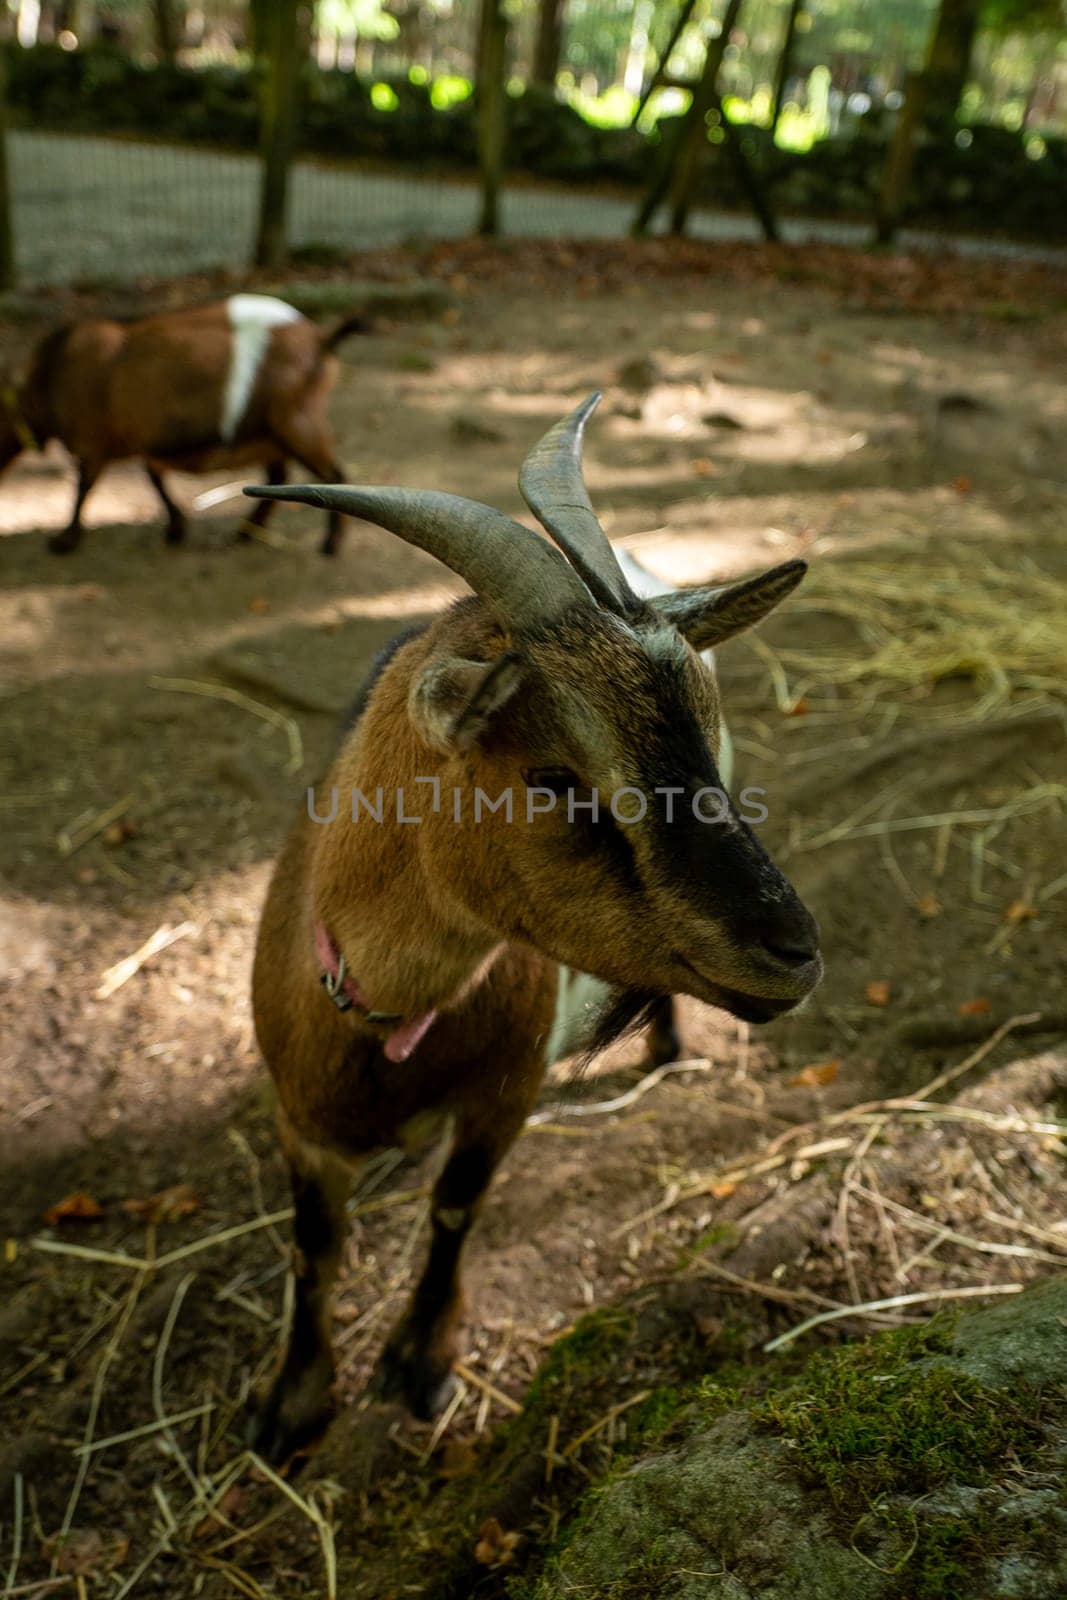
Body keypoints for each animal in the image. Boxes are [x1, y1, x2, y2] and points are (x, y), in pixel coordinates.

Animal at [244, 396, 825, 1465]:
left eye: (702, 738)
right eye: (553, 777)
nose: (793, 951)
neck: (386, 1020)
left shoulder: (504, 1098)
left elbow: (454, 1205)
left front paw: (421, 1360)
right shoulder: (299, 1123)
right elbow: (314, 1246)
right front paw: (290, 1402)